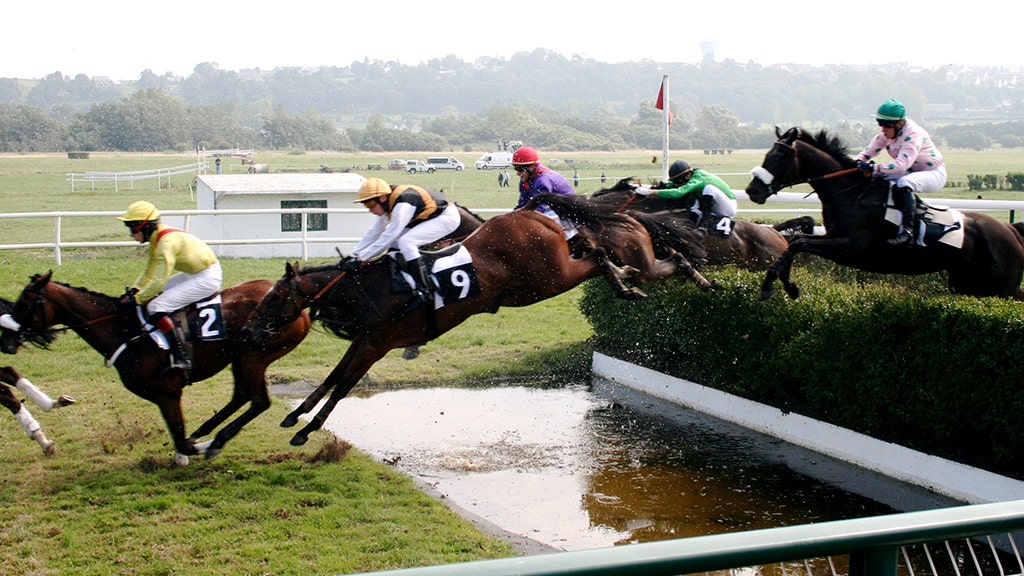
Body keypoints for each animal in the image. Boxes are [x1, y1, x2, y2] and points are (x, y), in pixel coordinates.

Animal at [1, 270, 311, 463]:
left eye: (25, 302)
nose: (7, 338)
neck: (125, 331)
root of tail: (302, 309)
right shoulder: (162, 396)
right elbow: (180, 437)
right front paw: (190, 448)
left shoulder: (167, 393)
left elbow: (181, 439)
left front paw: (198, 448)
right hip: (242, 358)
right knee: (243, 396)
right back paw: (207, 430)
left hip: (253, 356)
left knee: (258, 401)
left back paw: (216, 438)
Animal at [246, 204, 712, 444]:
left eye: (274, 297)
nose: (250, 331)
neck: (372, 289)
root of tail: (536, 215)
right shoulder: (365, 339)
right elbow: (332, 376)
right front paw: (296, 416)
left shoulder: (377, 343)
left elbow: (344, 384)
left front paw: (308, 429)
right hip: (535, 286)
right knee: (612, 257)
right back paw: (662, 275)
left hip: (548, 278)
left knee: (597, 254)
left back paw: (636, 279)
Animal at [745, 126, 1024, 301]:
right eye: (767, 153)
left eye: (778, 156)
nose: (752, 190)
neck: (852, 195)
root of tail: (1011, 231)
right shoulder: (833, 239)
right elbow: (795, 242)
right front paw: (783, 285)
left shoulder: (852, 249)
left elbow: (799, 243)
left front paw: (778, 286)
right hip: (966, 283)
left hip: (1001, 287)